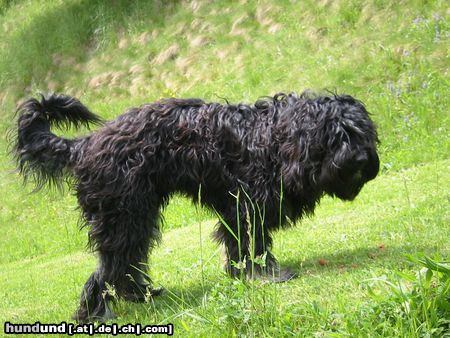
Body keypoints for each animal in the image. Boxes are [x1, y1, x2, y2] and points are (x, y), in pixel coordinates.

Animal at [14, 92, 378, 322]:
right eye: (337, 136)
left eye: (363, 133)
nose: (362, 160)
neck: (278, 138)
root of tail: (83, 145)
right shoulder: (246, 207)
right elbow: (251, 243)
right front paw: (266, 275)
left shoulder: (242, 208)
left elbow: (244, 246)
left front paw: (246, 274)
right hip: (124, 214)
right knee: (112, 266)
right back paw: (104, 311)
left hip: (131, 215)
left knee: (118, 264)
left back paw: (129, 298)